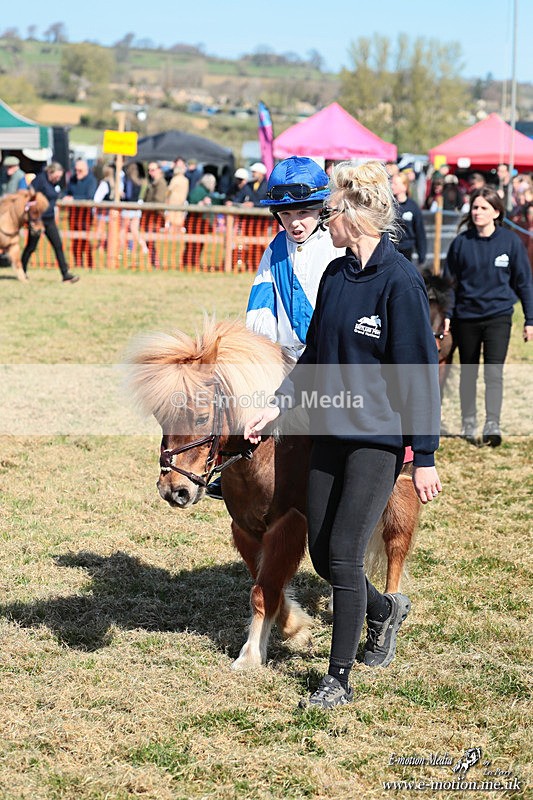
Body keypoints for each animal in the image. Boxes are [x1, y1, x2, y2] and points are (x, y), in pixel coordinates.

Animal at [127, 318, 421, 670]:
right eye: (161, 417)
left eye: (201, 417)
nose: (174, 490)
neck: (268, 451)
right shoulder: (245, 528)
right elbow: (267, 587)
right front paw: (295, 627)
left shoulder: (289, 523)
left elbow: (264, 589)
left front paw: (251, 655)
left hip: (400, 492)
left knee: (395, 549)